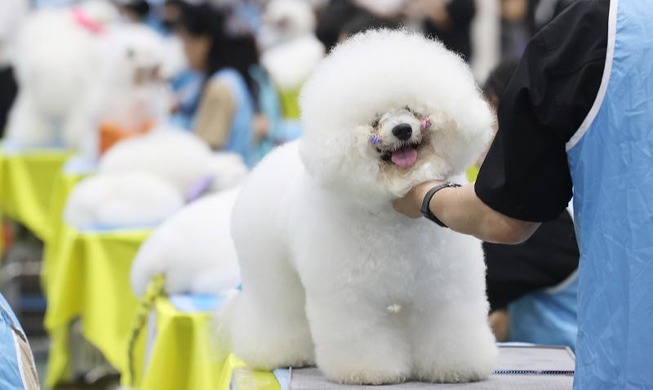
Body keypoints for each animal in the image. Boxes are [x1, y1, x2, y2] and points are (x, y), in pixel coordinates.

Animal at [216, 29, 496, 384]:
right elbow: (361, 335)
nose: (402, 130)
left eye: (410, 109)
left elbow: (447, 325)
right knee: (277, 312)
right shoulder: (352, 298)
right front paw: (369, 370)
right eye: (375, 120)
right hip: (270, 274)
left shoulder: (445, 289)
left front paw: (456, 367)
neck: (392, 214)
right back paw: (281, 353)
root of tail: (267, 160)